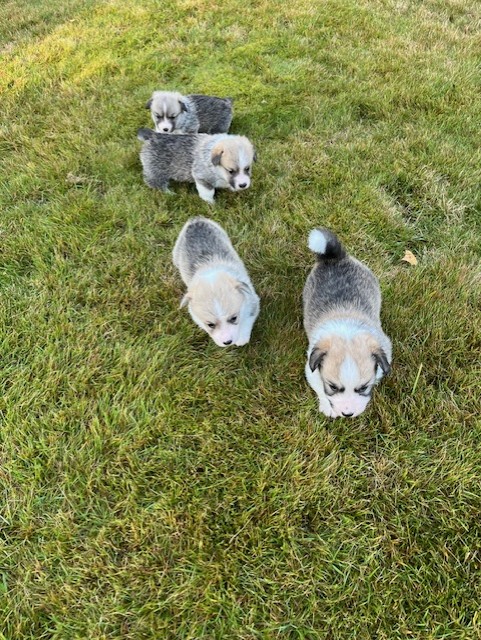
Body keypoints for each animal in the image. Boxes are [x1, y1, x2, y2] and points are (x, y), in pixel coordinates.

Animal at [172, 217, 260, 347]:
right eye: (210, 324)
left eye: (234, 318)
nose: (227, 342)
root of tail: (195, 220)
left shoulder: (252, 300)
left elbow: (247, 319)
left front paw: (242, 338)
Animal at [303, 228, 392, 418]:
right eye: (333, 387)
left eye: (363, 387)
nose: (348, 414)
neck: (347, 333)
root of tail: (334, 256)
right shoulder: (311, 369)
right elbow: (320, 389)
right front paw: (327, 406)